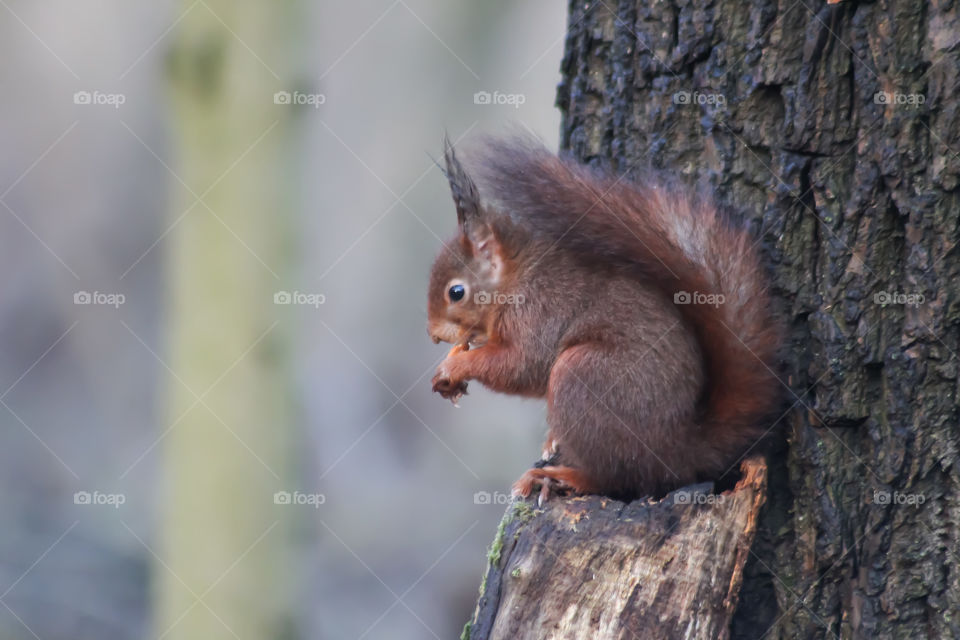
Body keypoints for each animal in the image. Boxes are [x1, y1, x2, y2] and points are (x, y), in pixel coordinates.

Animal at [427, 136, 781, 502]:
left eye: (456, 292)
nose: (434, 334)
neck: (516, 280)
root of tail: (677, 449)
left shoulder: (538, 314)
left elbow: (520, 366)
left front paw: (455, 366)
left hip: (583, 378)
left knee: (619, 479)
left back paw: (560, 477)